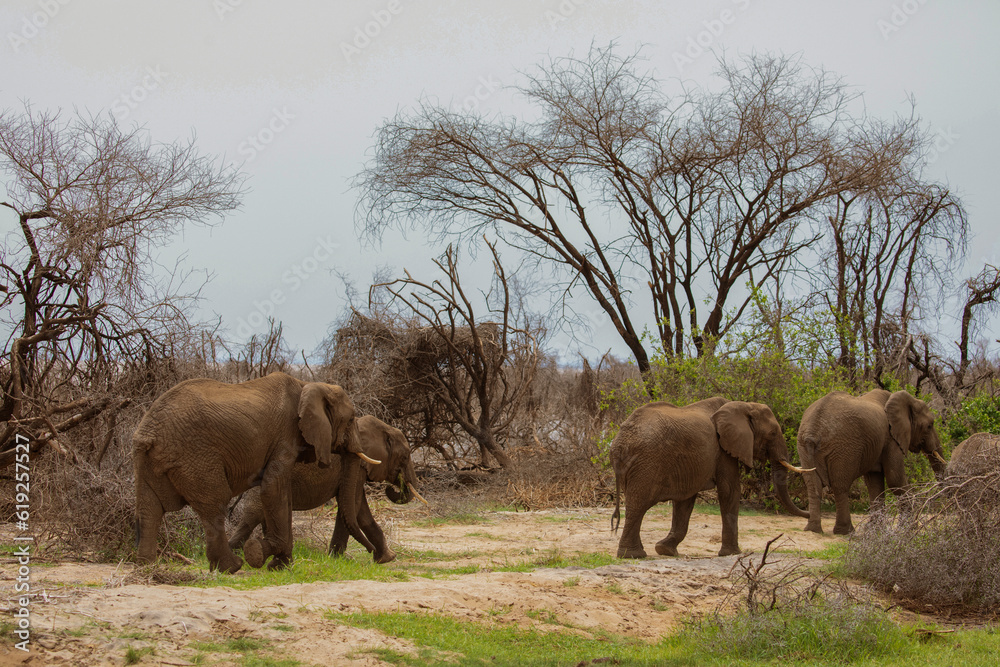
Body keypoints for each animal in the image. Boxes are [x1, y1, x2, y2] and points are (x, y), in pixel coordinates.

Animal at [133, 372, 380, 573]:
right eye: (350, 419)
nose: (372, 554)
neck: (308, 386)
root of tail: (148, 431)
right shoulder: (285, 436)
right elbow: (273, 488)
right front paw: (261, 553)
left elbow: (283, 495)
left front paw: (281, 566)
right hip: (195, 457)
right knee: (215, 505)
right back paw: (232, 567)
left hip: (147, 460)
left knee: (149, 508)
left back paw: (147, 566)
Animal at [227, 415, 426, 564]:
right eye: (405, 457)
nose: (391, 488)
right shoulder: (357, 468)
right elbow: (354, 507)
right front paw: (338, 559)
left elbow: (359, 510)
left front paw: (385, 558)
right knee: (252, 515)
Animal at [610, 397, 810, 559]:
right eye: (773, 434)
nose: (808, 514)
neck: (744, 405)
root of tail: (619, 444)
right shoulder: (723, 451)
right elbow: (730, 490)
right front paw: (732, 553)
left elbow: (685, 500)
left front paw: (665, 550)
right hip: (647, 463)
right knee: (638, 505)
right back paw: (633, 555)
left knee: (635, 505)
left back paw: (635, 553)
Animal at [796, 389, 947, 535]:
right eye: (930, 426)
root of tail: (813, 431)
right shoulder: (891, 439)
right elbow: (895, 481)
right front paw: (908, 530)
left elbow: (874, 483)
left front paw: (875, 530)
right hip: (843, 447)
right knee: (840, 486)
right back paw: (846, 532)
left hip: (804, 447)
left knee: (813, 485)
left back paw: (813, 529)